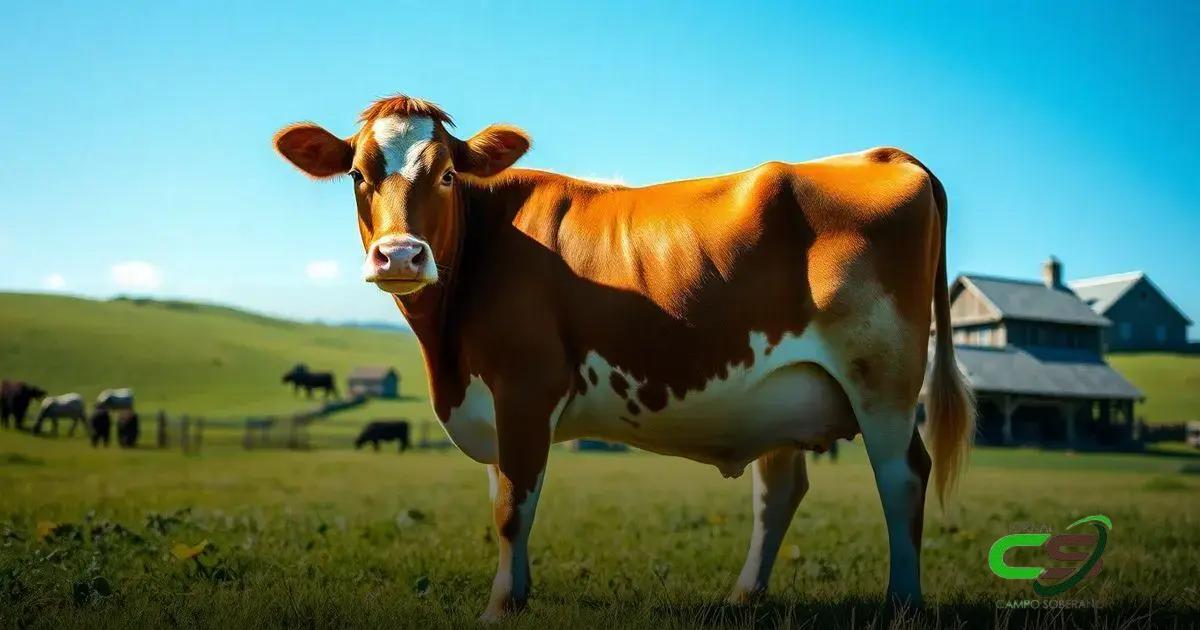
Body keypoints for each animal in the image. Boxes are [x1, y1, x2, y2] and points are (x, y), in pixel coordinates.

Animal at [273, 95, 974, 620]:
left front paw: (500, 607)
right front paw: (517, 593)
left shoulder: (525, 386)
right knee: (779, 492)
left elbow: (511, 506)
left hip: (882, 377)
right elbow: (504, 494)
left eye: (446, 174)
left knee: (902, 476)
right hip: (784, 391)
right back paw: (743, 597)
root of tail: (882, 155)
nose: (400, 255)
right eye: (357, 175)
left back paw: (902, 603)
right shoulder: (492, 402)